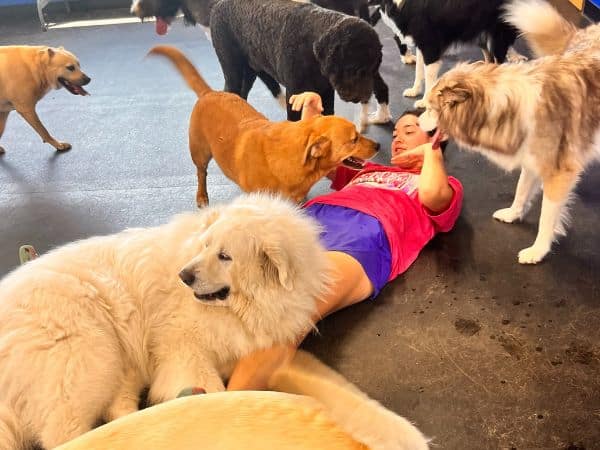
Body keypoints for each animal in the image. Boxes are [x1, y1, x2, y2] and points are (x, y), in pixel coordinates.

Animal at [0, 194, 328, 450]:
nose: (184, 275)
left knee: (117, 407)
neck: (241, 308)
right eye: (205, 246)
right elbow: (212, 389)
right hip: (90, 358)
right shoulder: (183, 348)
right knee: (62, 432)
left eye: (225, 256)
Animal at [148, 44, 378, 207]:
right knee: (201, 174)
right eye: (354, 139)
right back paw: (202, 196)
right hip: (200, 152)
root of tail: (210, 93)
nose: (379, 146)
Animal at [211, 0, 394, 128]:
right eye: (355, 69)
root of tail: (218, 5)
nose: (365, 96)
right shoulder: (294, 95)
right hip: (233, 71)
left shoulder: (326, 93)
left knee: (240, 95)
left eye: (373, 69)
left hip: (249, 73)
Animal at [420, 0, 600, 264]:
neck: (505, 109)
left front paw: (538, 251)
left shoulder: (559, 174)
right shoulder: (531, 159)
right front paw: (513, 214)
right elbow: (521, 190)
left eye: (431, 109)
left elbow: (546, 218)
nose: (415, 120)